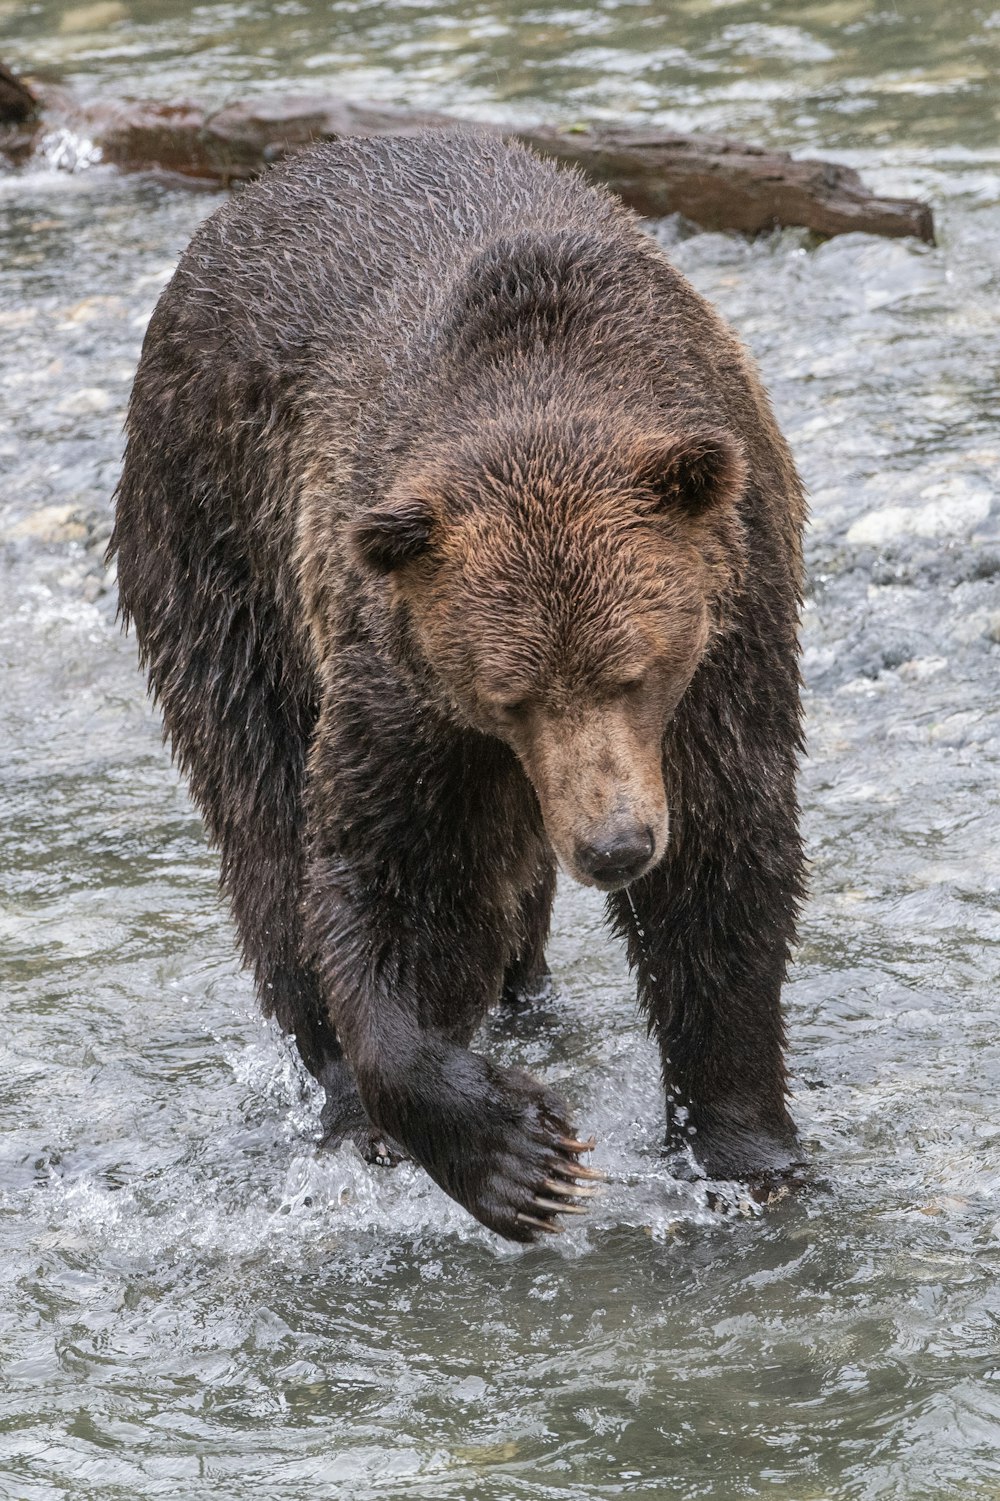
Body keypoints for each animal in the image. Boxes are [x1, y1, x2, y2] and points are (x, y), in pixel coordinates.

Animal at [111, 135, 804, 1242]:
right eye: (511, 692)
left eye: (634, 669)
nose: (613, 846)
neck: (540, 384)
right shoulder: (408, 678)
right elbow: (395, 875)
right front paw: (516, 1153)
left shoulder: (725, 648)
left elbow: (723, 862)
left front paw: (744, 1150)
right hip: (214, 548)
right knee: (264, 813)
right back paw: (345, 1101)